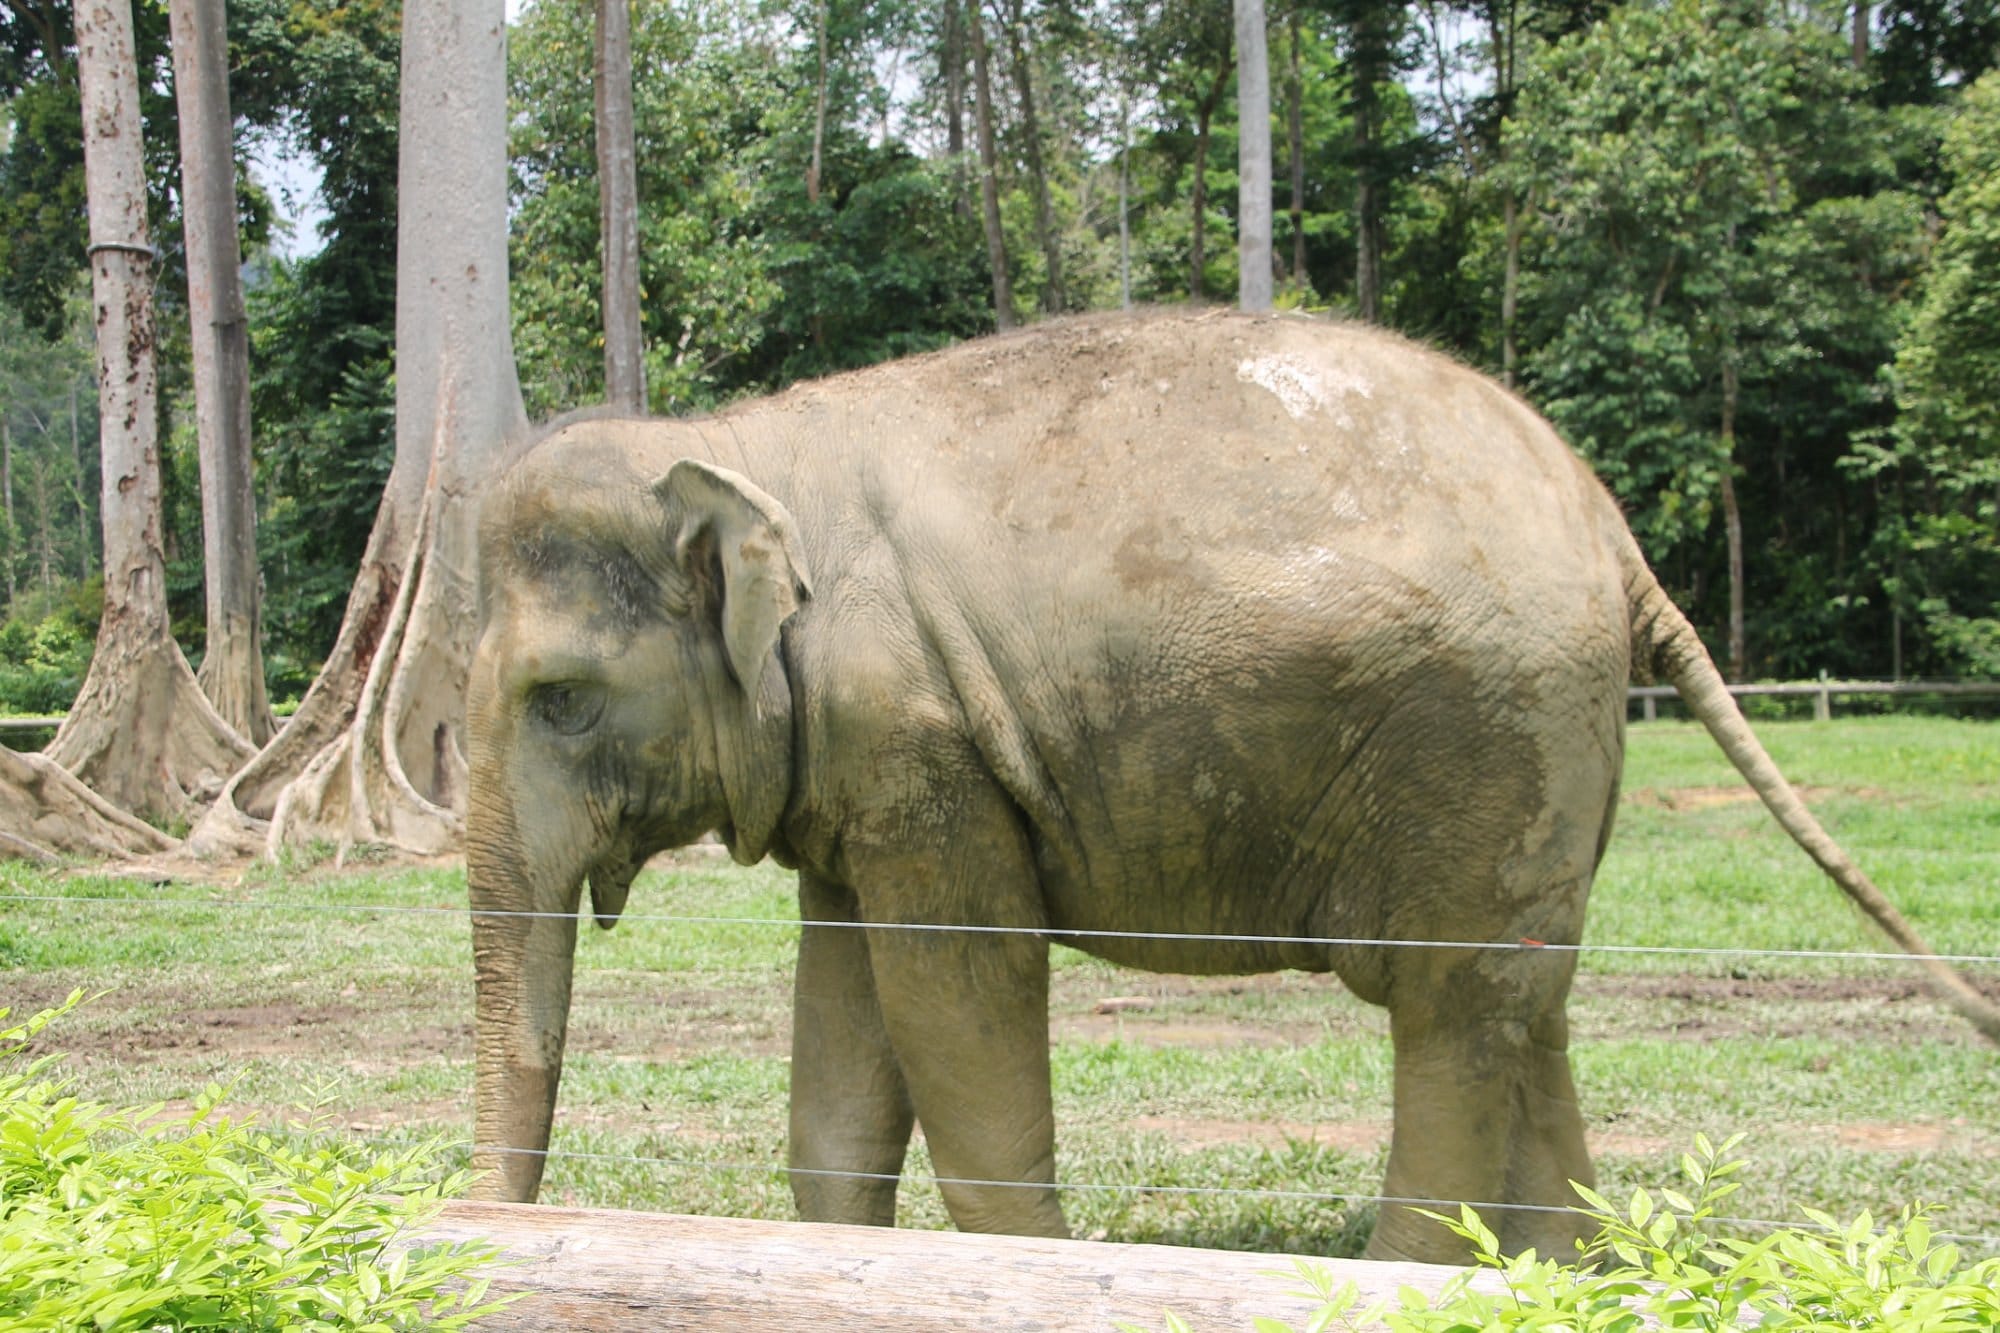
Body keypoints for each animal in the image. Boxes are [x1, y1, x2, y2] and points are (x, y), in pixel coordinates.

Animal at [464, 310, 2000, 1264]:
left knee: (1450, 1009)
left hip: (1485, 733)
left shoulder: (925, 740)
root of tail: (1609, 525)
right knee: (1530, 1000)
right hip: (1548, 762)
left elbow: (960, 992)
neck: (739, 446)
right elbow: (845, 1034)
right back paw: (1552, 1277)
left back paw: (1411, 1278)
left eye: (561, 699)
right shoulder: (865, 764)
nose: (484, 1237)